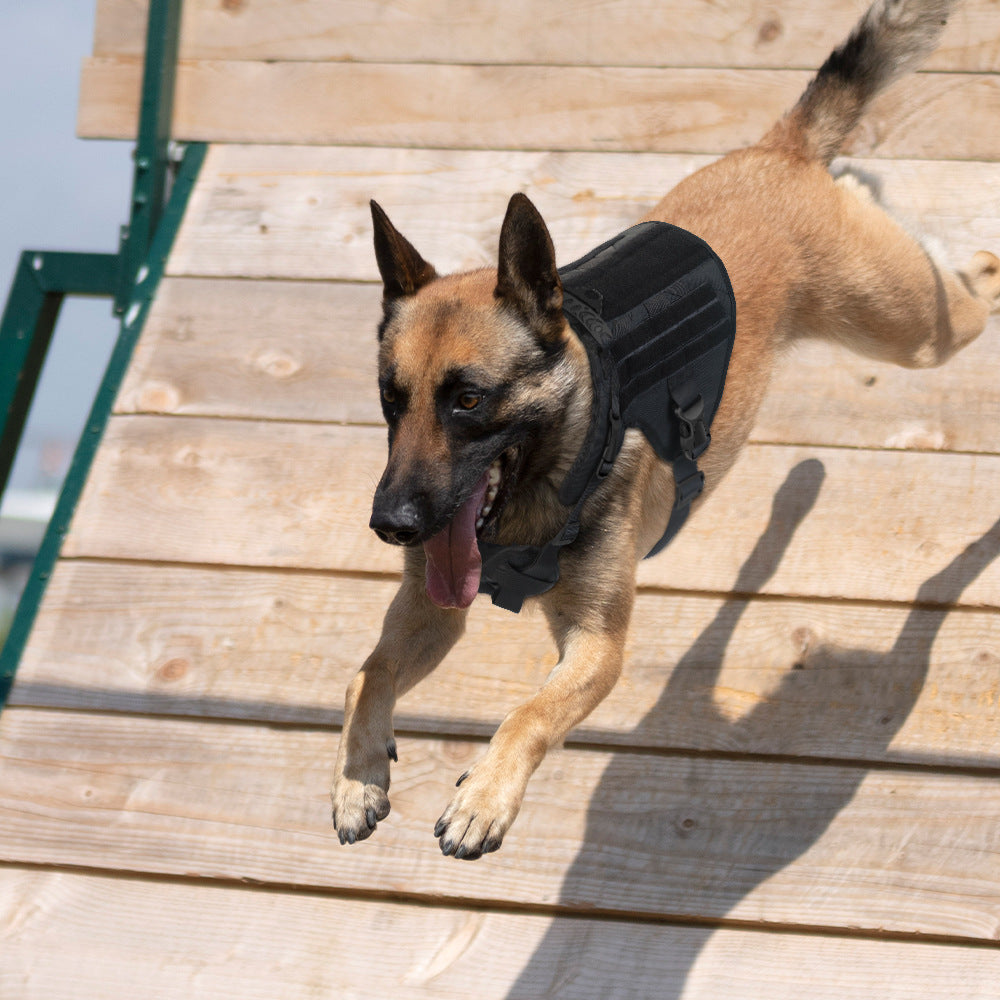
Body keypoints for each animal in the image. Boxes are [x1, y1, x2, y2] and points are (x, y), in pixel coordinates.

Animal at [330, 0, 1000, 860]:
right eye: (391, 399)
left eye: (469, 401)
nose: (391, 525)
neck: (556, 462)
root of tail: (777, 150)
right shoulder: (433, 608)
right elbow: (367, 674)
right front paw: (357, 776)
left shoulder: (597, 647)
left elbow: (530, 713)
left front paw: (485, 794)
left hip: (911, 333)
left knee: (978, 277)